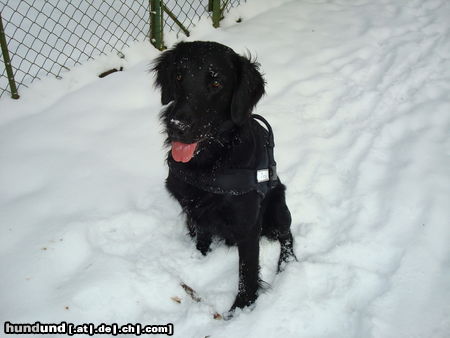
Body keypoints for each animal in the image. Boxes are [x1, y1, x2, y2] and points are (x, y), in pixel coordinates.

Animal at [153, 41, 298, 316]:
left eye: (216, 83)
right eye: (179, 76)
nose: (176, 126)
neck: (210, 162)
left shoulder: (248, 226)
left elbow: (247, 272)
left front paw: (241, 309)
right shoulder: (194, 211)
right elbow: (202, 239)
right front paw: (201, 260)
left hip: (277, 210)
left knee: (288, 238)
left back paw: (287, 267)